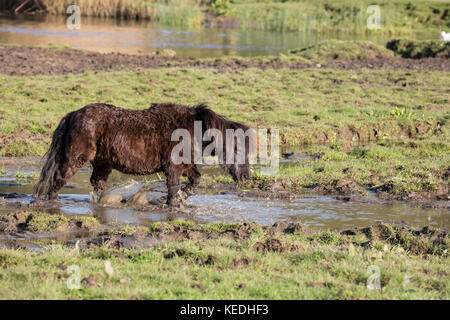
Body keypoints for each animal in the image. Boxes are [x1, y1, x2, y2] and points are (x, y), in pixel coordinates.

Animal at [34, 102, 253, 205]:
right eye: (238, 149)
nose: (245, 177)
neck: (192, 128)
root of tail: (73, 114)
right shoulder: (173, 168)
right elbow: (173, 188)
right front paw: (173, 203)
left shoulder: (186, 166)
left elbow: (195, 180)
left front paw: (184, 196)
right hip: (75, 160)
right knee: (57, 182)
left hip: (102, 164)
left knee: (98, 184)